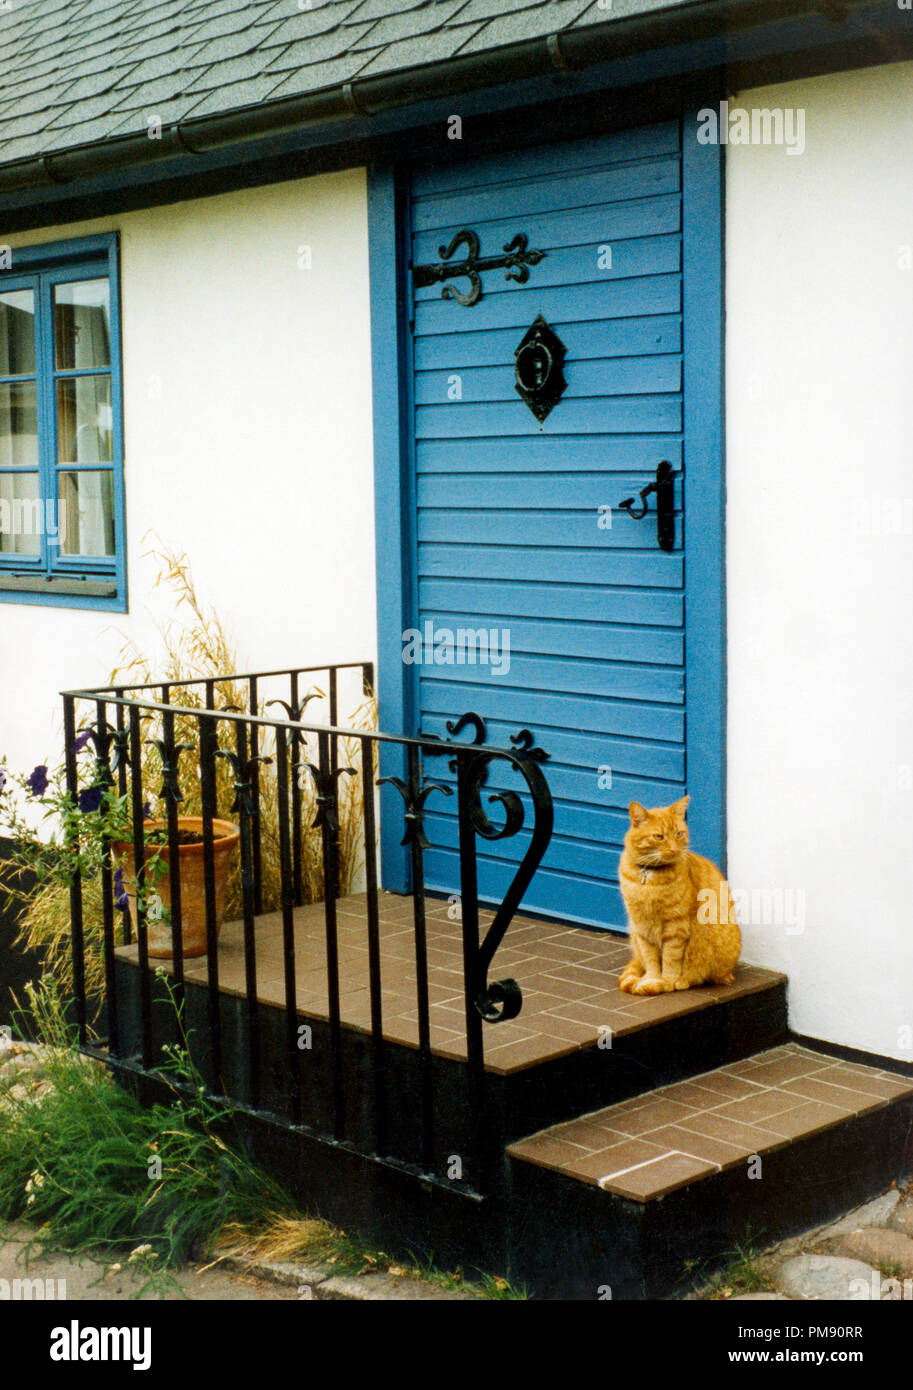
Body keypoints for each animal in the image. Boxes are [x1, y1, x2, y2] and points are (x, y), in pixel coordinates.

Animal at [617, 800, 739, 995]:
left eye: (679, 834)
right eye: (659, 837)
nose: (674, 849)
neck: (649, 876)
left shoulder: (676, 926)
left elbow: (671, 958)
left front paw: (667, 981)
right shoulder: (641, 925)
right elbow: (650, 958)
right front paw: (653, 979)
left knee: (707, 976)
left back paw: (683, 980)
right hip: (634, 933)